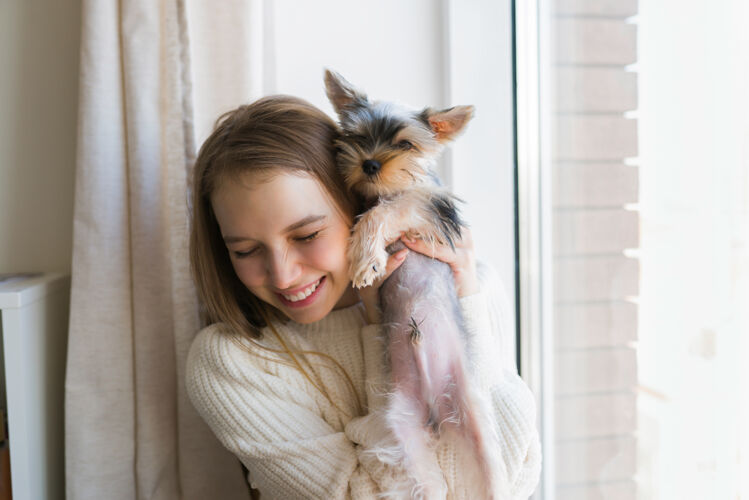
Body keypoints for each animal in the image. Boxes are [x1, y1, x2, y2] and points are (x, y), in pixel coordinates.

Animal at [326, 71, 506, 500]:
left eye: (405, 144)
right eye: (358, 137)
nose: (370, 163)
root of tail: (434, 412)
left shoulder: (430, 208)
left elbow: (387, 210)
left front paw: (364, 258)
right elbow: (373, 211)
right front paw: (366, 256)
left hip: (475, 417)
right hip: (402, 432)